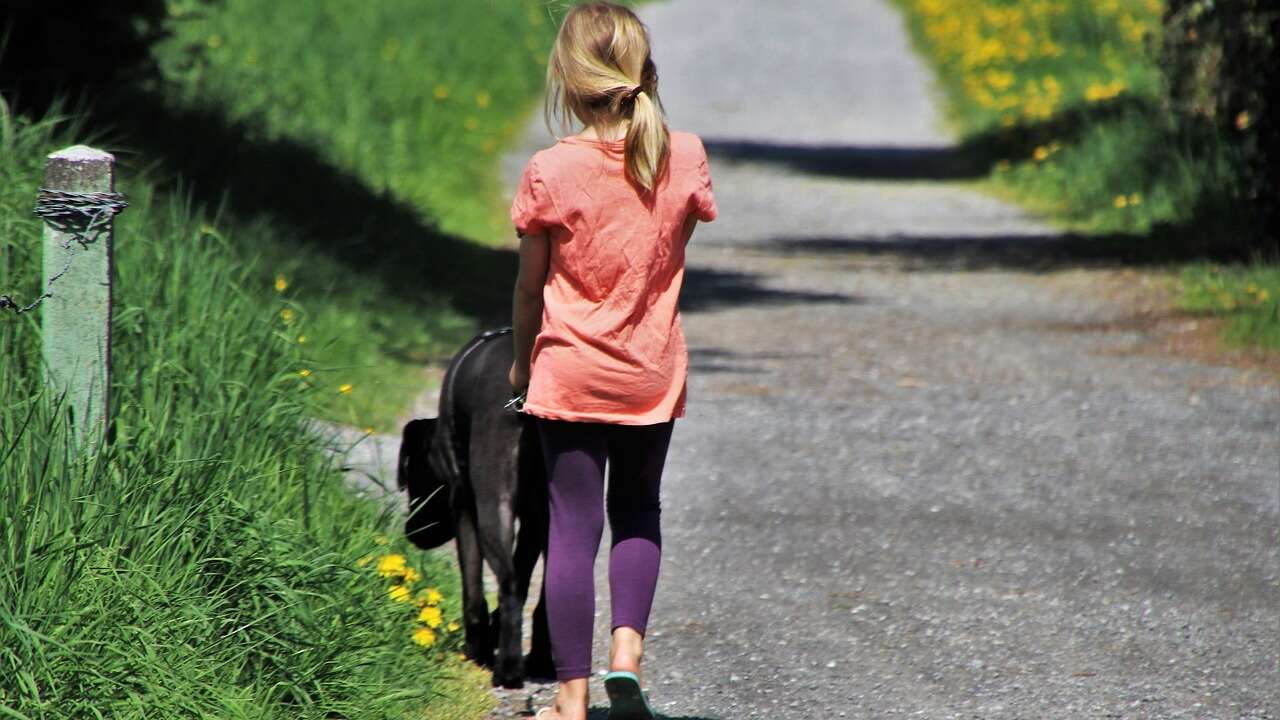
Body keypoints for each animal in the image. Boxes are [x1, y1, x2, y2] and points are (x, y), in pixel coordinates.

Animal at [394, 325, 555, 681]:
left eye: (412, 478)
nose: (411, 532)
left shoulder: (464, 506)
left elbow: (473, 590)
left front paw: (477, 646)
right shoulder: (535, 520)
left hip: (491, 503)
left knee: (508, 584)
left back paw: (508, 668)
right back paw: (541, 659)